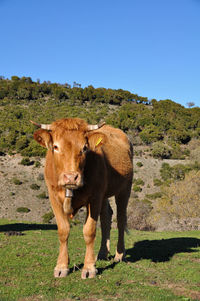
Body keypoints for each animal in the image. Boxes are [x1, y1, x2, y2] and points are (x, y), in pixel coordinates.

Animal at [31, 118, 133, 278]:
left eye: (85, 148)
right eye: (55, 146)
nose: (71, 177)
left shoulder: (95, 198)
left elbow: (89, 231)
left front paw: (89, 268)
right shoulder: (54, 198)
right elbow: (63, 230)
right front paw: (61, 266)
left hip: (124, 189)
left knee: (121, 219)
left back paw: (119, 254)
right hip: (105, 194)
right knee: (106, 217)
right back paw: (102, 253)